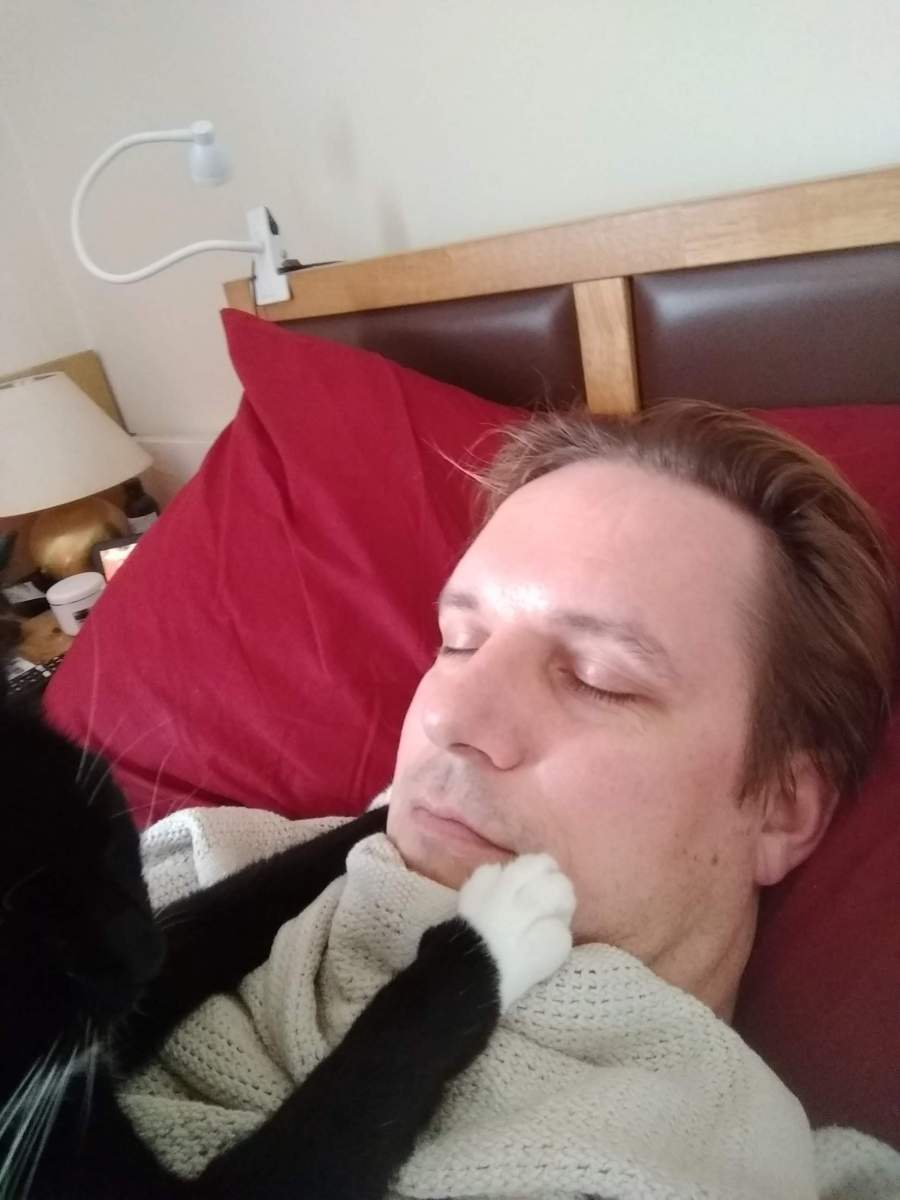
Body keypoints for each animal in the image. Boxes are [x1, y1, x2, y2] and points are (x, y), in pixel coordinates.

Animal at [0, 674, 573, 1200]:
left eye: (111, 838)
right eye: (28, 940)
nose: (145, 953)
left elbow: (245, 895)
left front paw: (393, 814)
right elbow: (363, 1081)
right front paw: (500, 926)